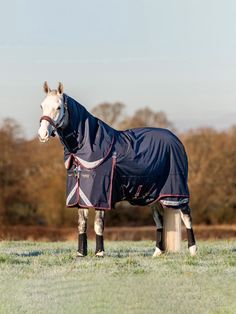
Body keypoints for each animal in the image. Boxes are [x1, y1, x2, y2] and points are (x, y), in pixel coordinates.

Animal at [38, 82, 197, 258]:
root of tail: (176, 140)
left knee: (186, 216)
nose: (42, 134)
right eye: (42, 106)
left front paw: (100, 253)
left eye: (59, 107)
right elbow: (82, 224)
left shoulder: (101, 195)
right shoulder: (81, 195)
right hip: (154, 195)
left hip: (176, 192)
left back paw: (193, 250)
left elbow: (98, 224)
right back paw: (157, 252)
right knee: (159, 220)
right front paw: (81, 253)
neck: (87, 148)